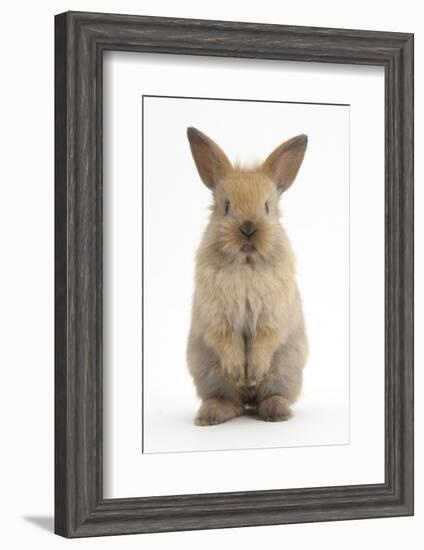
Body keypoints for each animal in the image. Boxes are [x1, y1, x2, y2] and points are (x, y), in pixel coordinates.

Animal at [186, 128, 308, 426]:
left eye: (267, 207)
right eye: (226, 206)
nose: (248, 228)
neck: (245, 264)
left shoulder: (272, 317)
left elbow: (264, 339)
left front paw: (252, 372)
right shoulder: (217, 318)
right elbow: (227, 339)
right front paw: (238, 371)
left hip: (285, 371)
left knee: (269, 396)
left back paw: (276, 412)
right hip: (210, 374)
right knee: (232, 402)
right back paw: (211, 415)